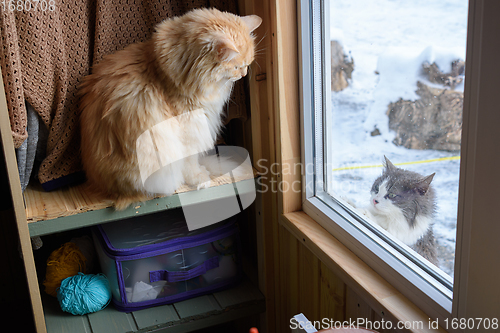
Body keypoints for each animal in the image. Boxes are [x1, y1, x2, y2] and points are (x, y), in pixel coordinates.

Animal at [79, 8, 262, 208]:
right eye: (237, 67)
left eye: (248, 65)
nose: (244, 74)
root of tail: (100, 186)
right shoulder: (191, 128)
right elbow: (190, 162)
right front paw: (199, 178)